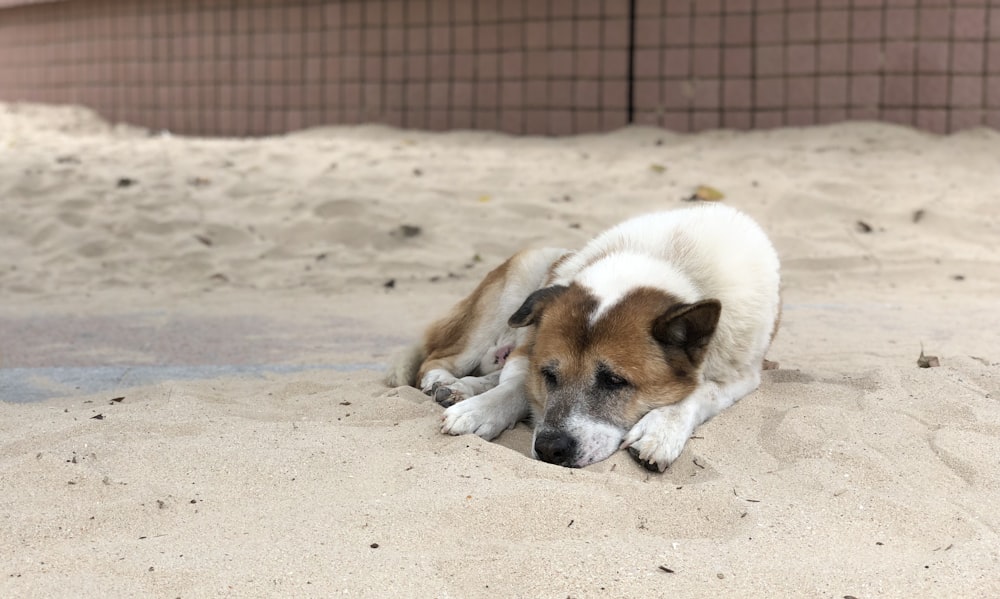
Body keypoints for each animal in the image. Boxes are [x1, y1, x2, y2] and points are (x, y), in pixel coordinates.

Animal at [382, 204, 780, 472]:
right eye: (549, 375)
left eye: (615, 381)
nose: (550, 449)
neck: (671, 263)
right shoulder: (528, 351)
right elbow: (516, 386)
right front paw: (480, 409)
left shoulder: (742, 376)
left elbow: (699, 392)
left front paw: (661, 430)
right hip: (519, 282)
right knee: (437, 358)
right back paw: (447, 383)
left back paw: (460, 388)